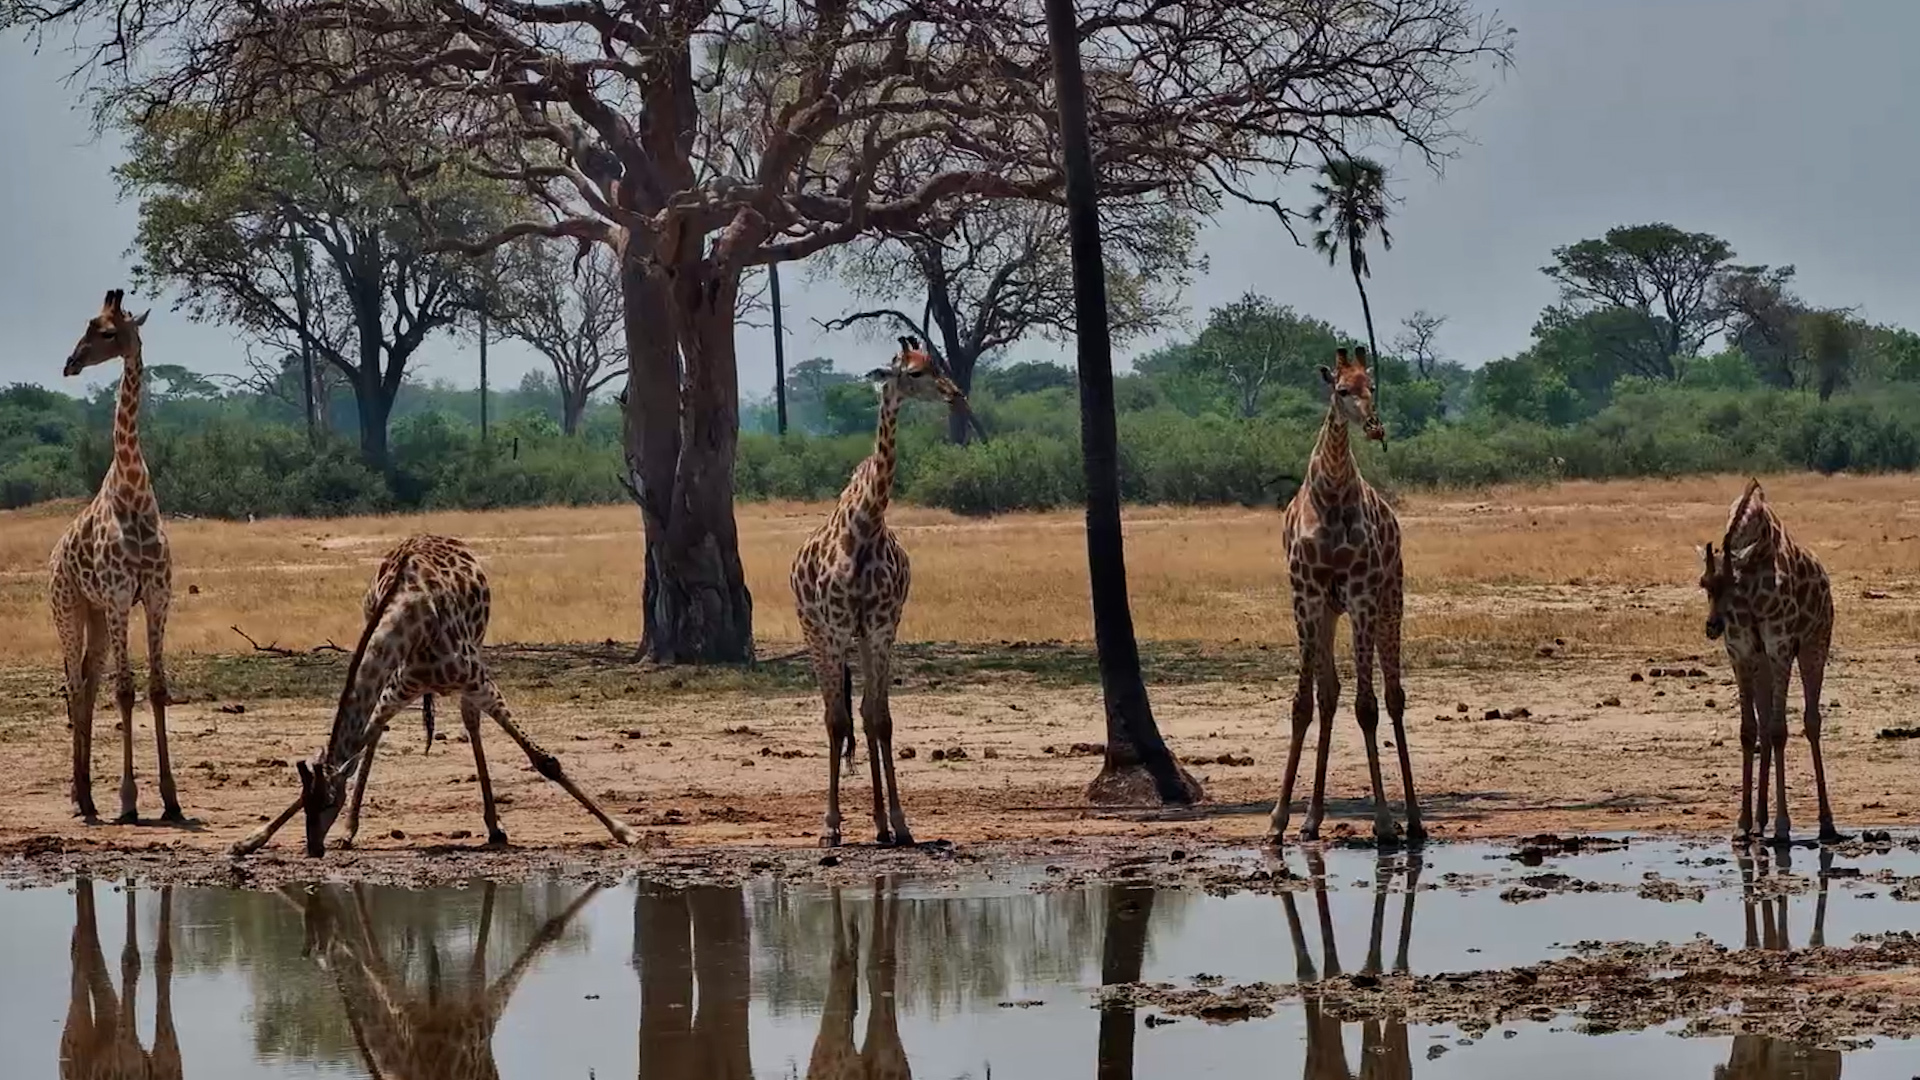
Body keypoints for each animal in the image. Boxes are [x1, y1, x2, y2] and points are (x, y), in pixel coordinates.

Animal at [228, 534, 637, 856]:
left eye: (329, 799)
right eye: (309, 802)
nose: (314, 848)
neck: (412, 619)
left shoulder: (477, 679)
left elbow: (545, 761)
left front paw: (624, 830)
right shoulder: (398, 685)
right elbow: (361, 747)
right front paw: (250, 840)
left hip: (474, 659)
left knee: (471, 724)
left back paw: (495, 828)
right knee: (378, 735)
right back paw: (350, 831)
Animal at [790, 335, 977, 848]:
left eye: (936, 364)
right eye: (913, 372)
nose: (955, 394)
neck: (865, 525)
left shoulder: (880, 626)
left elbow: (881, 719)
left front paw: (898, 822)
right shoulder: (835, 628)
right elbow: (838, 721)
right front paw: (830, 826)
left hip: (861, 636)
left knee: (864, 713)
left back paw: (878, 824)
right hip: (814, 631)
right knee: (834, 715)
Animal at [1271, 346, 1421, 845]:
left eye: (1371, 385)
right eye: (1341, 389)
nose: (1375, 426)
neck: (1333, 494)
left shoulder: (1360, 596)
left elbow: (1367, 707)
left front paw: (1385, 822)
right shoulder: (1307, 598)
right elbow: (1304, 703)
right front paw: (1279, 819)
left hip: (1390, 602)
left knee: (1393, 696)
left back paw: (1415, 819)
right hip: (1331, 614)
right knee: (1330, 694)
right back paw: (1312, 818)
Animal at [1699, 479, 1842, 845]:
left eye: (1733, 584)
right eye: (1703, 584)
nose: (1712, 626)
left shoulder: (1779, 643)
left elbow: (1779, 730)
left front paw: (1782, 826)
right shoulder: (1741, 650)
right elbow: (1749, 730)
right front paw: (1742, 824)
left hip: (1813, 644)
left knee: (1810, 721)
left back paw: (1825, 824)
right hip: (1763, 660)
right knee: (1765, 723)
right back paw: (1758, 823)